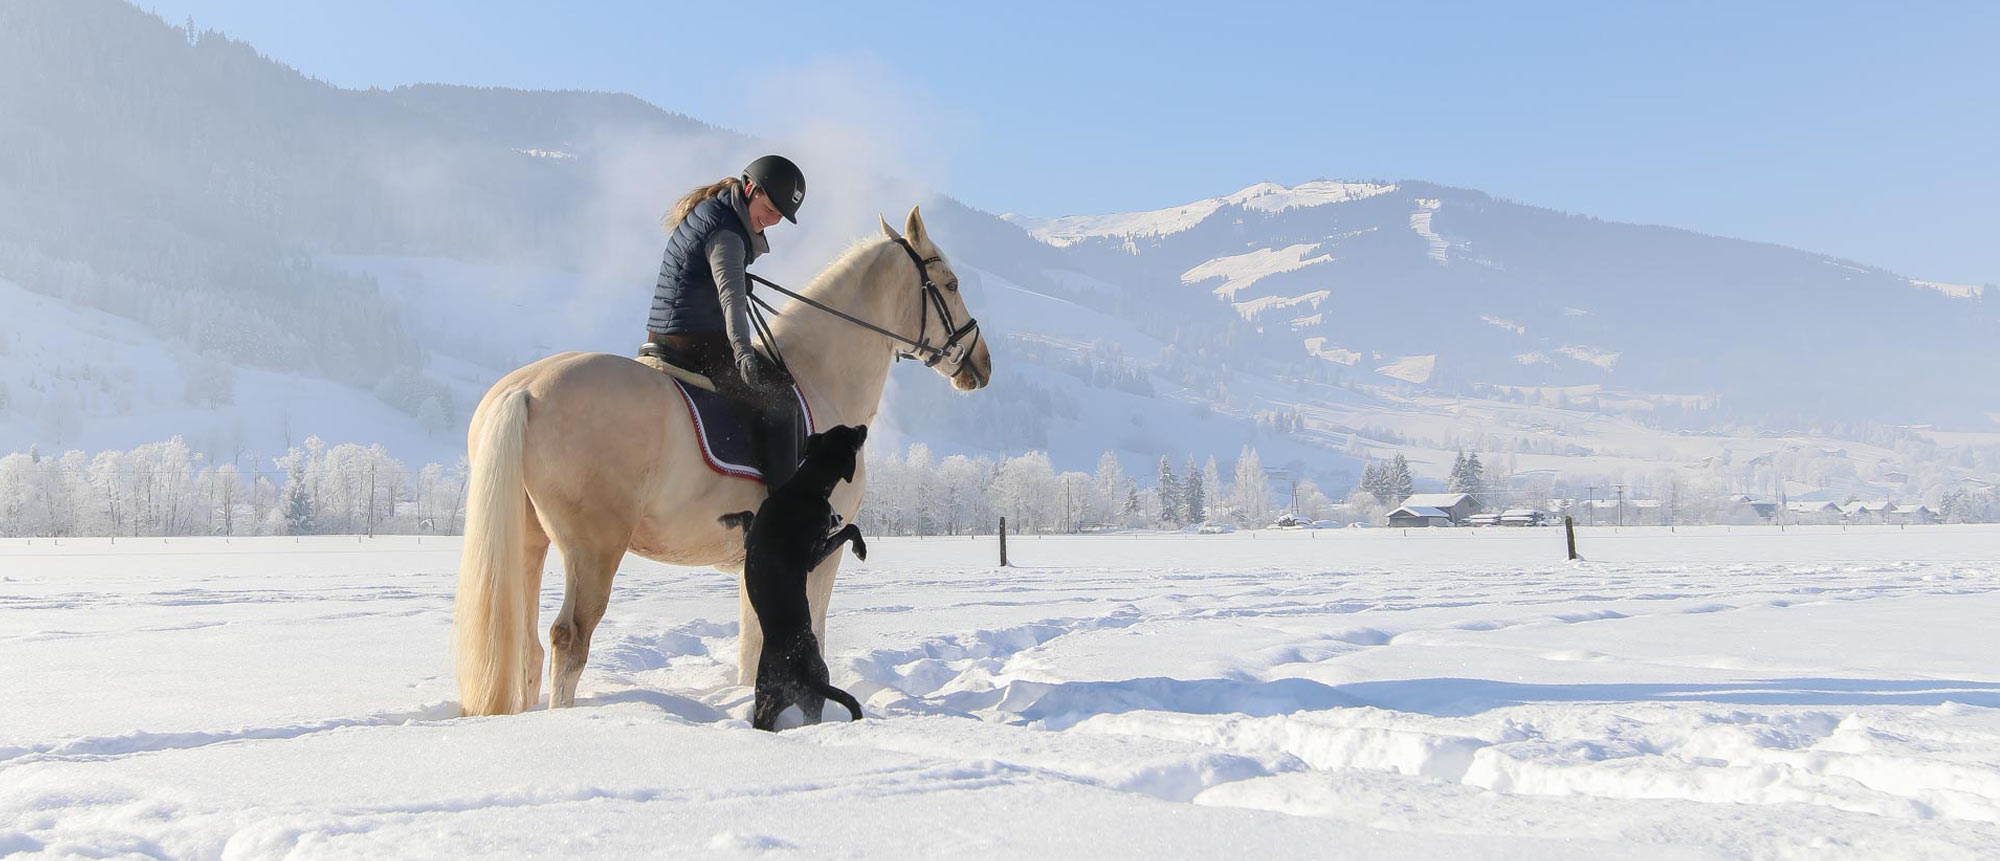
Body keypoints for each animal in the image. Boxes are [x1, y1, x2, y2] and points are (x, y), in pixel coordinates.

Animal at [724, 420, 872, 728]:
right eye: (852, 434)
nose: (863, 425)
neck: (804, 488)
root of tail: (801, 670)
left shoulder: (753, 537)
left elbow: (746, 516)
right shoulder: (815, 555)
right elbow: (850, 528)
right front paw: (860, 549)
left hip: (792, 699)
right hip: (783, 697)